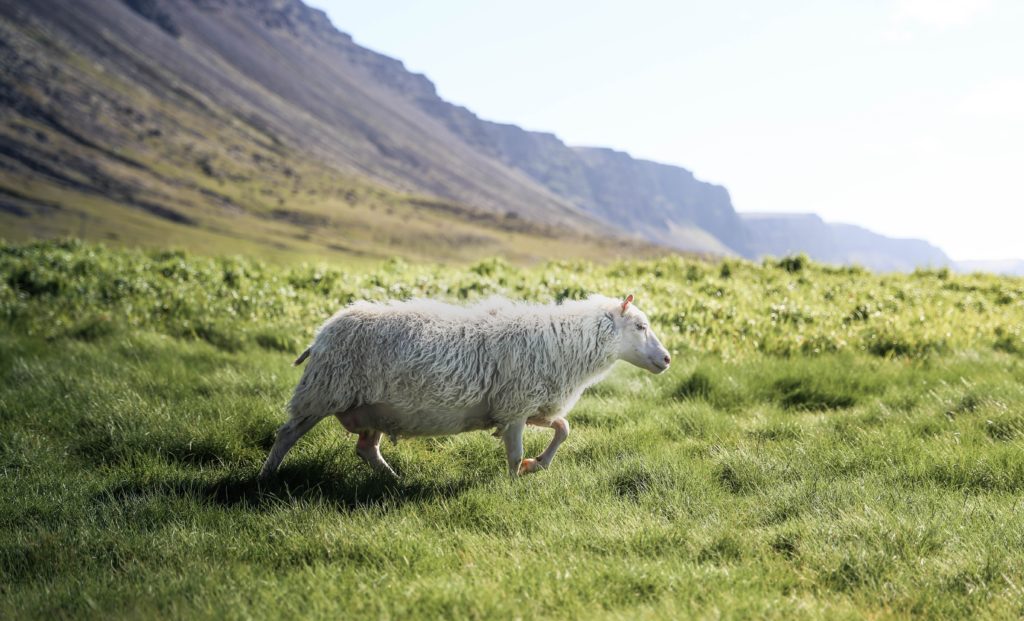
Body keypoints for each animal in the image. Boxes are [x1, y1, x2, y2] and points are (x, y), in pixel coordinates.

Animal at [259, 294, 671, 478]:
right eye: (640, 326)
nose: (667, 360)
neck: (566, 343)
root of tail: (323, 332)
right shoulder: (515, 407)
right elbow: (513, 454)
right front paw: (514, 483)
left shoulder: (527, 406)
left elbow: (564, 428)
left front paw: (539, 463)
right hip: (323, 392)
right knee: (287, 434)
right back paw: (266, 477)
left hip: (369, 408)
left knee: (366, 449)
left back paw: (393, 480)